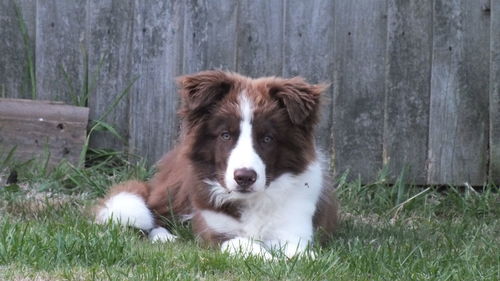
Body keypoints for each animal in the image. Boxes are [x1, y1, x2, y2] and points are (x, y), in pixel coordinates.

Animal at [95, 70, 338, 258]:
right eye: (225, 135)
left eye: (267, 138)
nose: (244, 177)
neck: (250, 201)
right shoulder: (215, 230)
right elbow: (244, 243)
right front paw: (270, 259)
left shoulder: (294, 228)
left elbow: (298, 253)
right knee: (154, 213)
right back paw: (166, 238)